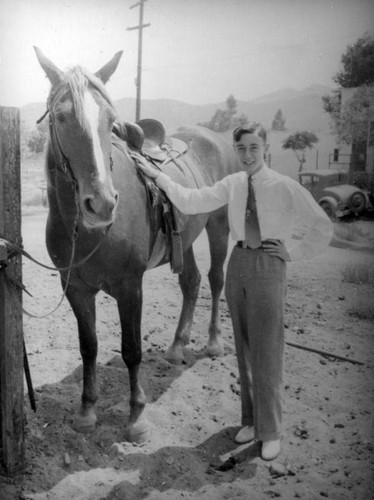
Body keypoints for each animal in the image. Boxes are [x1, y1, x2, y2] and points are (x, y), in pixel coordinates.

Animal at [33, 47, 241, 442]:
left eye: (111, 119)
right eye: (62, 117)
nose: (101, 204)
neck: (90, 233)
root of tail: (214, 137)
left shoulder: (130, 287)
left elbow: (132, 350)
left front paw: (136, 418)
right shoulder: (76, 288)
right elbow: (89, 347)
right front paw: (87, 412)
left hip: (219, 226)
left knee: (216, 279)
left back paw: (213, 343)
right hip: (186, 239)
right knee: (191, 282)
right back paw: (176, 347)